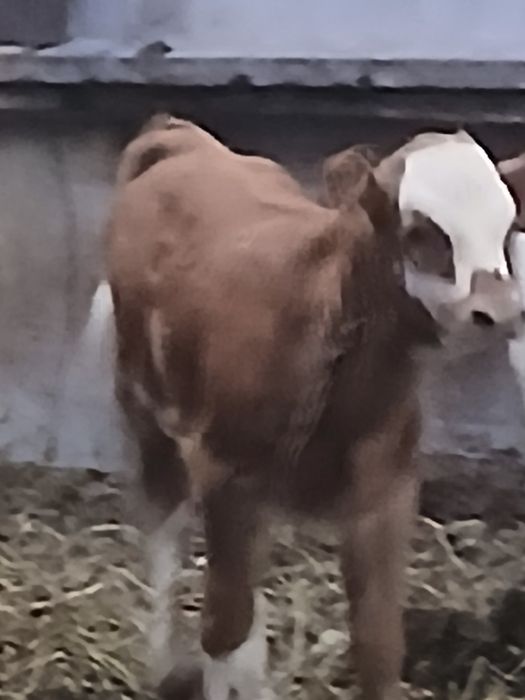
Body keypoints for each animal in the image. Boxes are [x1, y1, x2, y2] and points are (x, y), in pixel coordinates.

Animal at [101, 115, 523, 700]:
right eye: (420, 231)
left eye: (506, 227)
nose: (500, 310)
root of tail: (181, 136)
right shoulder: (226, 477)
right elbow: (222, 627)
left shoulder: (385, 495)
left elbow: (378, 644)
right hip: (146, 409)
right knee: (163, 526)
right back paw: (164, 667)